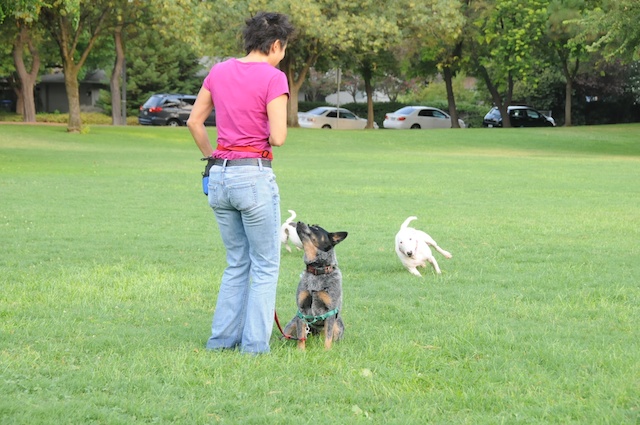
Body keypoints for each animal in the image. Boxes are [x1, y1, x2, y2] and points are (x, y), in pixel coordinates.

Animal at [282, 220, 348, 350]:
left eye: (316, 228)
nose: (299, 222)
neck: (317, 271)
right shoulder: (301, 310)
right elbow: (301, 335)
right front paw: (300, 351)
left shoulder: (330, 311)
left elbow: (328, 337)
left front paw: (327, 351)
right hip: (291, 325)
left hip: (338, 325)